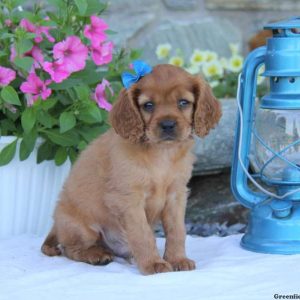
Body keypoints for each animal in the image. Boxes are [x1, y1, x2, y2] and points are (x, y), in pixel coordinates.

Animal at [41, 64, 221, 276]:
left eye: (183, 102)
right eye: (148, 105)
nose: (167, 124)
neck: (161, 154)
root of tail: (55, 225)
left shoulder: (176, 195)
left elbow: (177, 230)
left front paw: (178, 259)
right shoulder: (130, 199)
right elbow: (142, 234)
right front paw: (153, 264)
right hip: (82, 228)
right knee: (70, 249)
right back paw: (96, 255)